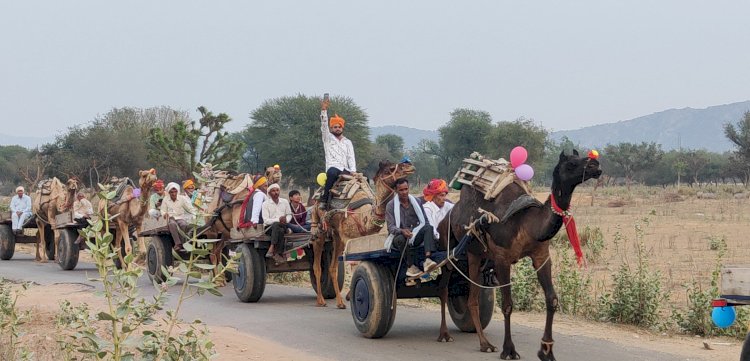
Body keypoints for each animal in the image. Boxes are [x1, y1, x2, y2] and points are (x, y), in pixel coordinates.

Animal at [310, 159, 418, 308]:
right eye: (390, 169)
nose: (409, 165)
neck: (364, 216)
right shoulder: (349, 238)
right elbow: (353, 264)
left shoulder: (363, 239)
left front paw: (350, 296)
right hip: (319, 227)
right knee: (317, 265)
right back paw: (321, 300)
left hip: (337, 235)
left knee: (333, 267)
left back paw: (340, 302)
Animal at [434, 149, 604, 360]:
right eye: (572, 163)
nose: (596, 165)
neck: (529, 223)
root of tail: (448, 214)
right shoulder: (502, 259)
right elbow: (507, 304)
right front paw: (509, 350)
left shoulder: (541, 256)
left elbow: (552, 299)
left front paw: (546, 350)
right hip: (449, 248)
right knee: (444, 289)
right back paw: (448, 335)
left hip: (476, 256)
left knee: (472, 296)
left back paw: (484, 343)